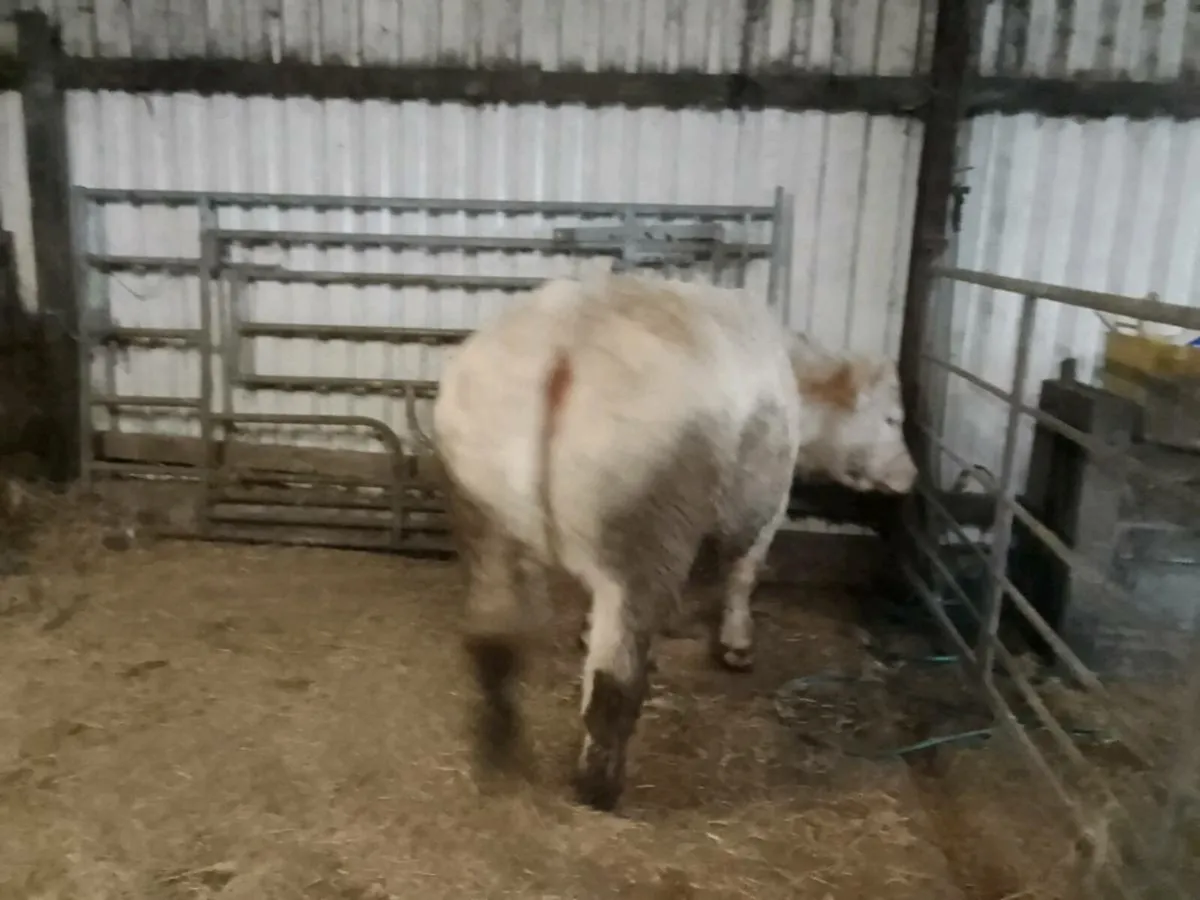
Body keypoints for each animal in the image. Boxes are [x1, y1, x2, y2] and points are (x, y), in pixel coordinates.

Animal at [427, 271, 916, 811]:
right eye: (893, 418)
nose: (911, 476)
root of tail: (567, 337)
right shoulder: (766, 501)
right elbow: (742, 570)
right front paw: (736, 644)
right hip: (643, 535)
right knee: (615, 681)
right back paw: (599, 787)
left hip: (483, 509)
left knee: (492, 640)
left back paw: (499, 747)